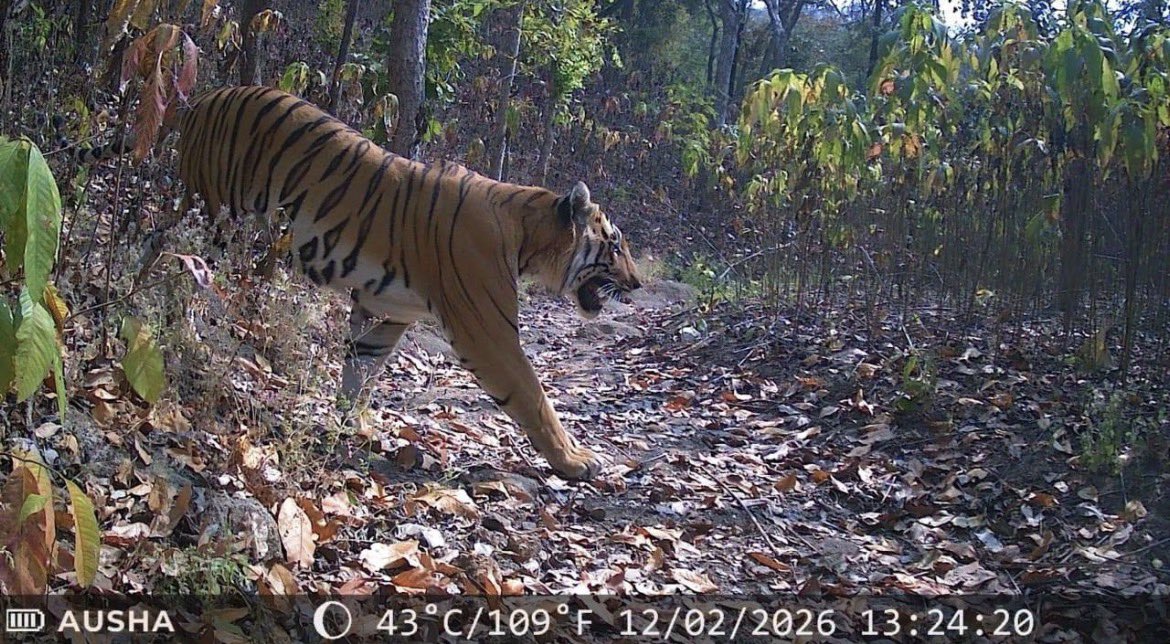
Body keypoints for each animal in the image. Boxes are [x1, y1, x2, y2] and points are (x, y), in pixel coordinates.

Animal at [83, 85, 643, 480]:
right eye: (615, 244)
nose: (637, 284)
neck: (525, 234)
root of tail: (202, 97)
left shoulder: (385, 309)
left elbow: (359, 370)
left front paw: (349, 426)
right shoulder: (488, 332)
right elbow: (533, 396)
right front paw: (576, 460)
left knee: (155, 245)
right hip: (215, 212)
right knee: (178, 258)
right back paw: (169, 326)